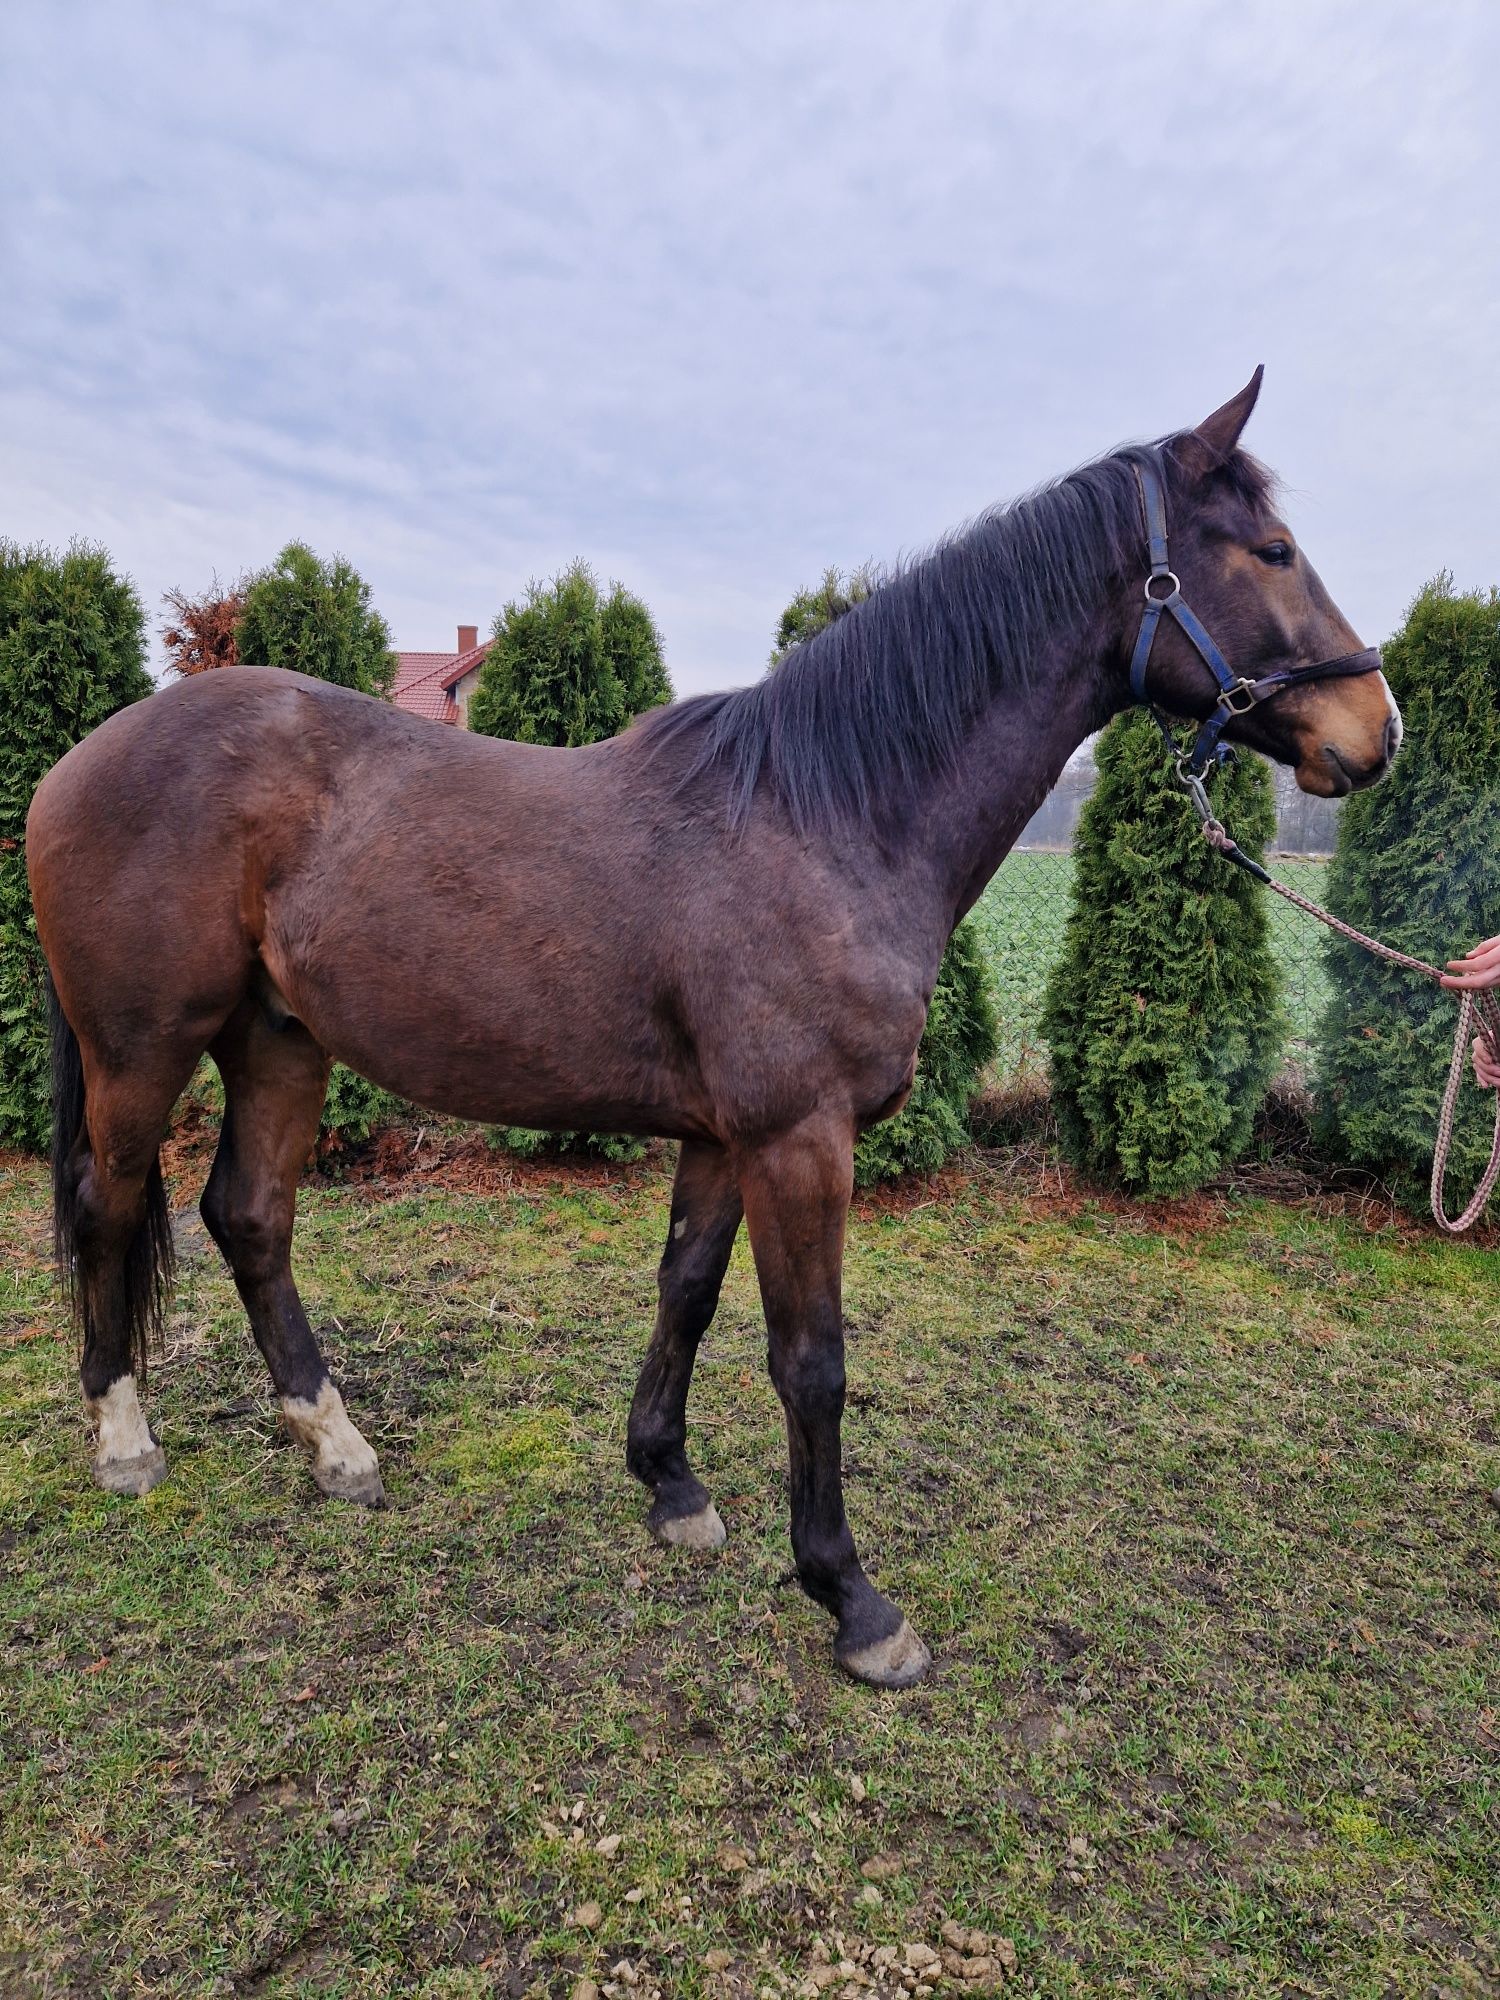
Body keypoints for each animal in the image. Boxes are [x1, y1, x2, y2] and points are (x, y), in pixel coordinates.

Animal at [29, 376, 1408, 1688]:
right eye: (1274, 550)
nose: (1376, 730)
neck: (827, 815)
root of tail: (76, 763)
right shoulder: (800, 1136)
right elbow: (812, 1358)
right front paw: (854, 1600)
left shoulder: (722, 1133)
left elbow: (686, 1290)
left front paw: (671, 1483)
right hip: (143, 1048)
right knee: (110, 1200)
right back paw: (125, 1439)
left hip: (278, 1039)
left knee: (250, 1216)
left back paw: (336, 1444)